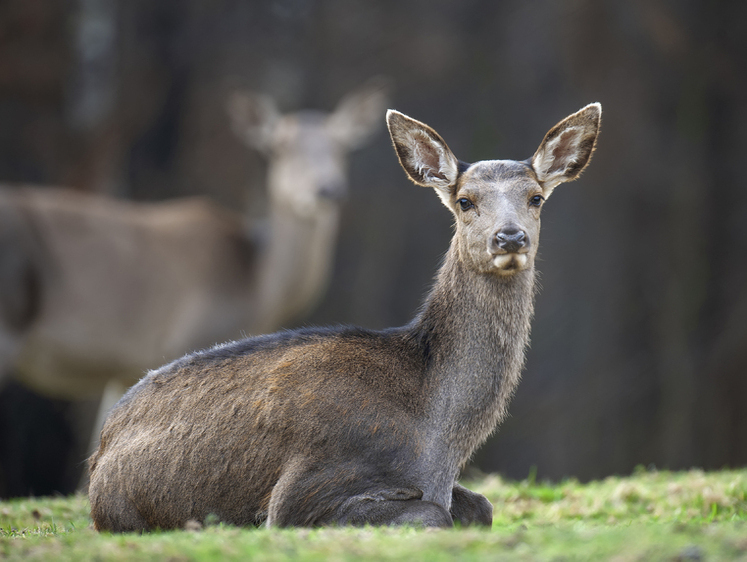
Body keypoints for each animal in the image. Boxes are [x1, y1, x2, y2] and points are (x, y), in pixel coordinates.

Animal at [0, 79, 388, 494]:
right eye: (278, 146)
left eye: (342, 144)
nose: (326, 189)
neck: (257, 285)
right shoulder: (191, 335)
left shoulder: (127, 365)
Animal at [87, 101, 600, 528]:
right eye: (465, 201)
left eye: (536, 197)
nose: (510, 237)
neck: (437, 440)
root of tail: (101, 448)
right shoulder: (302, 490)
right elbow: (433, 514)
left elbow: (482, 505)